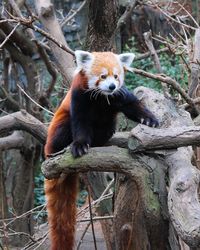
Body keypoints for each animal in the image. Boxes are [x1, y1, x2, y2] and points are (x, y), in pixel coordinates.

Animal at [44, 49, 159, 249]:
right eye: (103, 76)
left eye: (116, 76)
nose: (112, 86)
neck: (102, 98)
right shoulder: (79, 98)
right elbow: (80, 123)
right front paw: (80, 145)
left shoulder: (120, 96)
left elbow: (133, 106)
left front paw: (149, 119)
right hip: (57, 130)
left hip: (108, 125)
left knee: (107, 128)